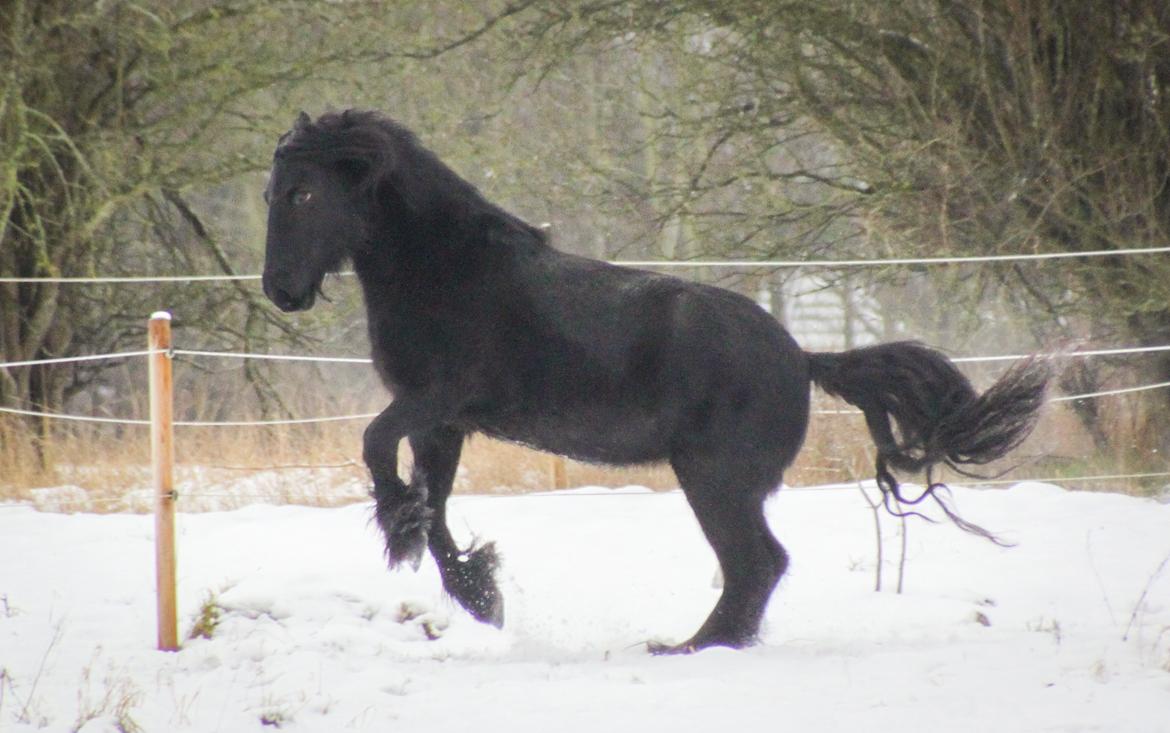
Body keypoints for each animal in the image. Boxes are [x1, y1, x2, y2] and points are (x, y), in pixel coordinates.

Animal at [261, 109, 1049, 653]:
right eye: (272, 192)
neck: (447, 271)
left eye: (303, 194)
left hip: (714, 477)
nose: (280, 291)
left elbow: (375, 446)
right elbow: (437, 508)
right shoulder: (441, 424)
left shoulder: (435, 401)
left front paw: (400, 529)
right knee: (756, 566)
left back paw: (691, 646)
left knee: (756, 562)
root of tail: (803, 358)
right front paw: (479, 591)